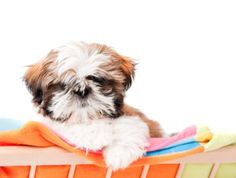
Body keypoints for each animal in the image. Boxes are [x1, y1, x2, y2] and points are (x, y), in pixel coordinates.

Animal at [23, 41, 162, 170]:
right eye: (63, 84)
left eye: (98, 80)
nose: (82, 91)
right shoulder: (47, 126)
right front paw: (94, 134)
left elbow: (129, 124)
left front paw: (119, 153)